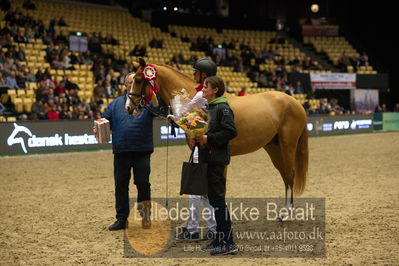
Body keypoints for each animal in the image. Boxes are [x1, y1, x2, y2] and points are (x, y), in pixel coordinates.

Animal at [126, 57, 310, 216]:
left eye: (139, 80)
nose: (129, 108)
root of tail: (295, 102)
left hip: (288, 145)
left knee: (290, 175)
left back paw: (287, 215)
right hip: (273, 147)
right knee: (285, 176)